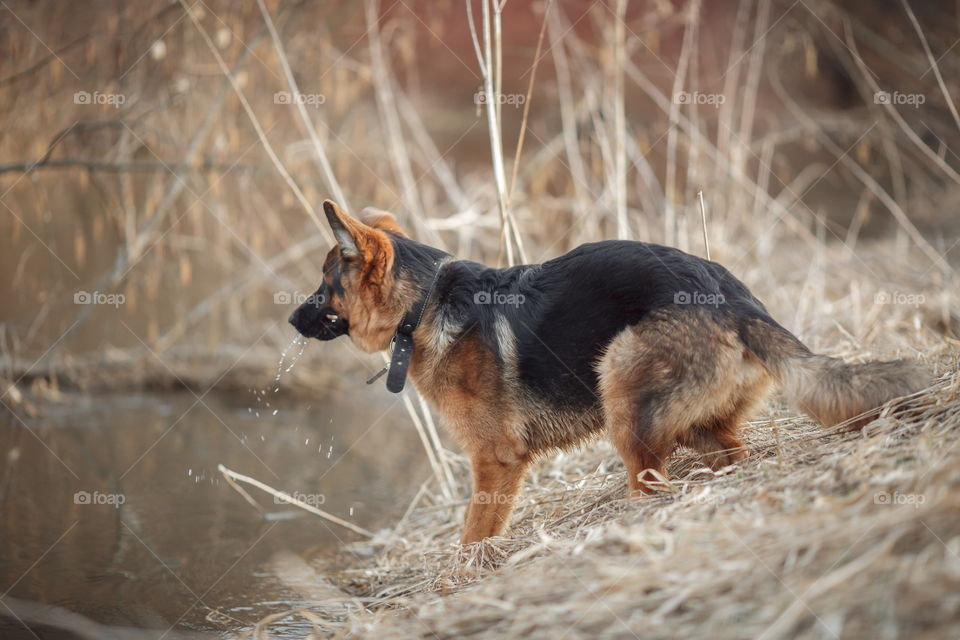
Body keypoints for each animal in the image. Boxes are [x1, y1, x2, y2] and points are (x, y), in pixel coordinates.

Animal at [288, 201, 928, 544]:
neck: (423, 305)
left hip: (619, 381)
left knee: (651, 480)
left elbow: (473, 535)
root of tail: (735, 301)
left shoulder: (494, 461)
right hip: (696, 422)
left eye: (324, 285)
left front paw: (458, 584)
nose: (291, 317)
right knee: (731, 453)